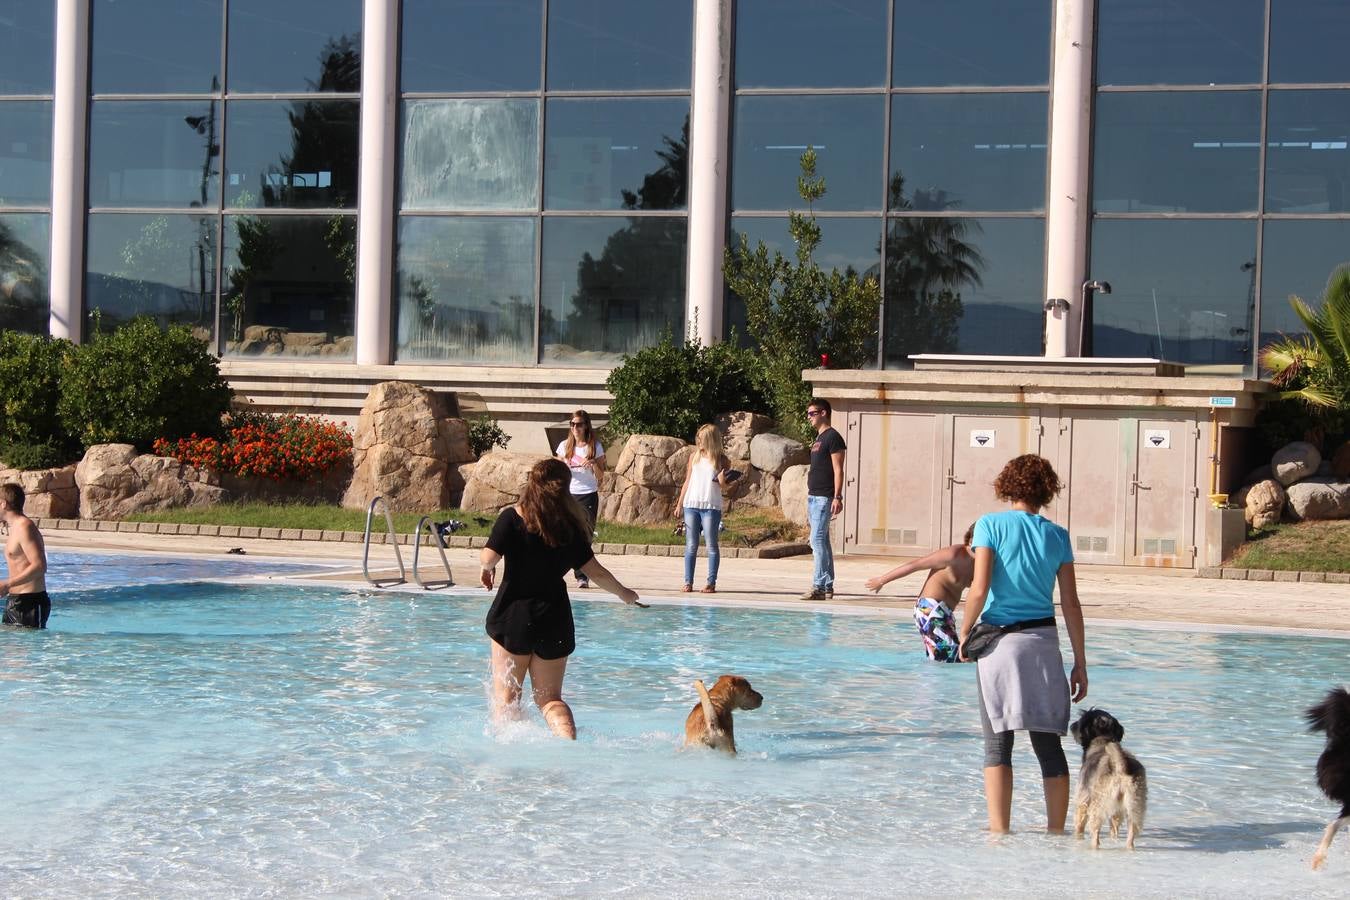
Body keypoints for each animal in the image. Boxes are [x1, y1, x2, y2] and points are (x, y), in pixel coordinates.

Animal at [1069, 707, 1144, 847]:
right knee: (1131, 831)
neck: (1103, 740)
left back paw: (1093, 845)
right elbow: (1114, 826)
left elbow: (1079, 823)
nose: (1072, 725)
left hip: (1099, 803)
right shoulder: (1117, 809)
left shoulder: (1083, 798)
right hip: (1135, 803)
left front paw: (1077, 837)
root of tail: (1119, 768)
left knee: (1095, 830)